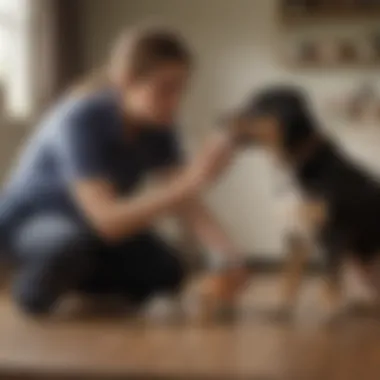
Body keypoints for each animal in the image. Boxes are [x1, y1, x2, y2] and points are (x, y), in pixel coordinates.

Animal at [226, 84, 380, 320]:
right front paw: (280, 306)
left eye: (258, 106)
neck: (294, 163)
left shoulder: (334, 233)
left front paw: (330, 309)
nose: (220, 119)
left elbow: (330, 277)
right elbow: (289, 277)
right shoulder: (295, 234)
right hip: (360, 263)